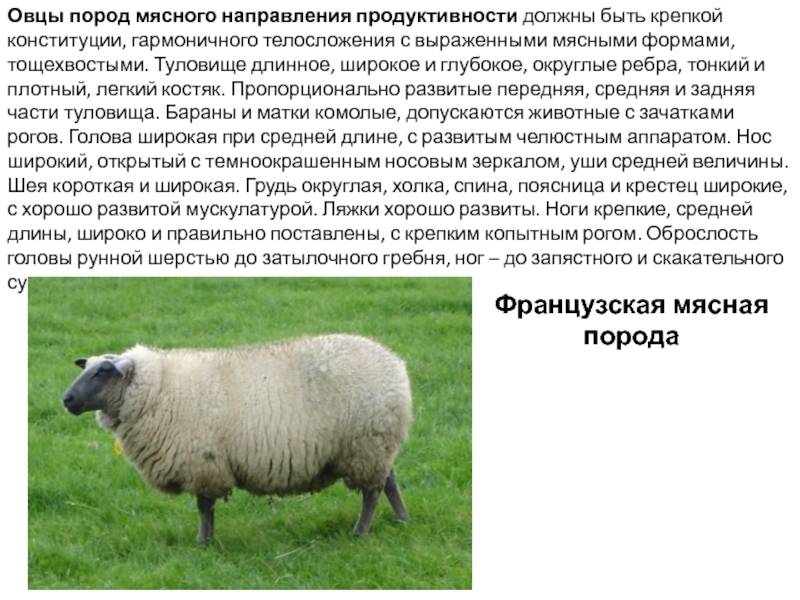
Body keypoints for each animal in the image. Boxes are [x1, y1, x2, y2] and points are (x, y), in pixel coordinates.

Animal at [61, 334, 412, 543]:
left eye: (101, 372)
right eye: (87, 367)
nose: (67, 399)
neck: (159, 390)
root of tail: (395, 363)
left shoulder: (203, 462)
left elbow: (204, 507)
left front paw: (203, 543)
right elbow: (206, 507)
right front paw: (207, 540)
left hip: (366, 444)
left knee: (372, 493)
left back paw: (360, 532)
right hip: (376, 446)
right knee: (389, 481)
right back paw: (402, 519)